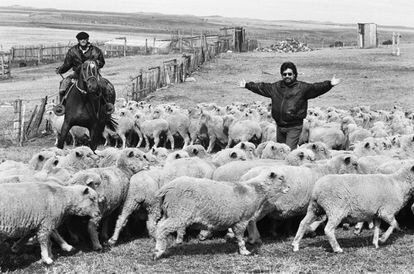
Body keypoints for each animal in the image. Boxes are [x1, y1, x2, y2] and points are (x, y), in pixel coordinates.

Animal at [152, 170, 292, 260]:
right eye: (280, 178)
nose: (289, 188)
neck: (254, 190)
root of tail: (168, 186)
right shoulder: (242, 220)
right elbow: (240, 237)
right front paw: (244, 251)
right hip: (179, 212)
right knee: (162, 228)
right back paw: (158, 251)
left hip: (170, 212)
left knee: (160, 225)